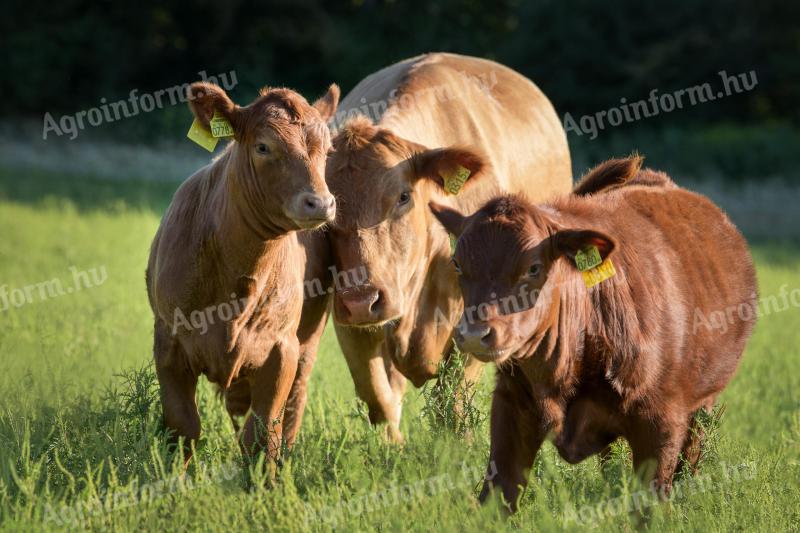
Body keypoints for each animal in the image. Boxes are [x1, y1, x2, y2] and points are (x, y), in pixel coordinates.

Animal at [147, 80, 338, 462]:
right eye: (264, 146)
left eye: (326, 150)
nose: (320, 203)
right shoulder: (169, 342)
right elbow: (183, 426)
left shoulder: (282, 350)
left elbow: (263, 433)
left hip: (307, 343)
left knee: (293, 405)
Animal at [432, 157, 756, 508]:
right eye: (457, 263)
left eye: (534, 267)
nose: (475, 334)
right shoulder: (510, 408)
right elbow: (497, 495)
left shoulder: (662, 424)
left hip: (705, 401)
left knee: (693, 450)